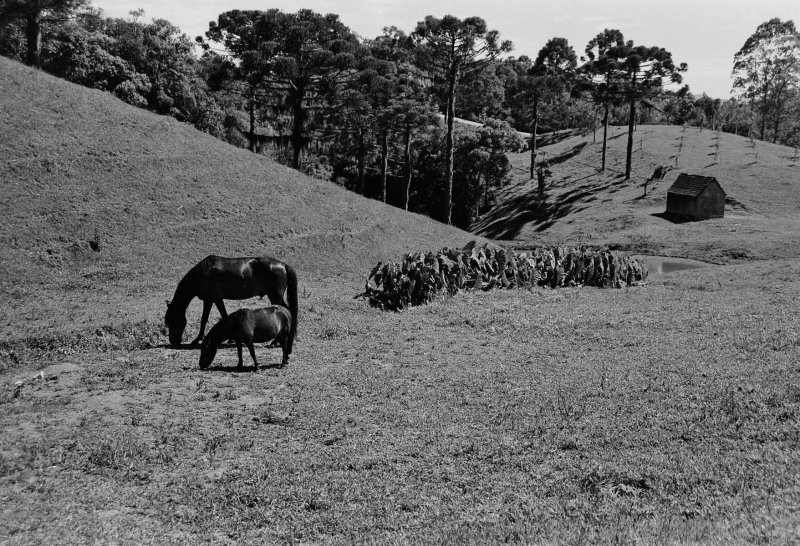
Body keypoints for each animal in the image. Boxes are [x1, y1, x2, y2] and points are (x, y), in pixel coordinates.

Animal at [164, 253, 298, 350]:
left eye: (172, 321)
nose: (173, 342)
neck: (204, 272)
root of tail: (283, 265)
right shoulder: (216, 299)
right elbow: (223, 315)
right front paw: (231, 339)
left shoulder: (211, 299)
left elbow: (204, 319)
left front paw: (197, 340)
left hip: (275, 295)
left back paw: (275, 341)